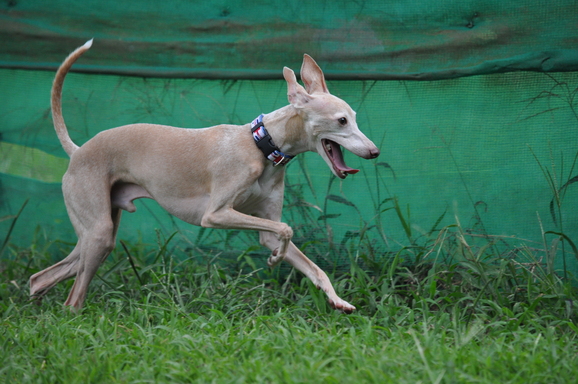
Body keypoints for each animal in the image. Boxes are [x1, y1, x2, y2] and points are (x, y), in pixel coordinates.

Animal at [30, 40, 378, 314]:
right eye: (342, 120)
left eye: (355, 118)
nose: (374, 151)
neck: (261, 144)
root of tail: (77, 151)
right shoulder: (216, 215)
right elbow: (286, 229)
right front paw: (275, 259)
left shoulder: (262, 221)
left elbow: (309, 263)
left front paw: (336, 300)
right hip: (98, 232)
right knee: (72, 299)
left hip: (96, 236)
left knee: (40, 278)